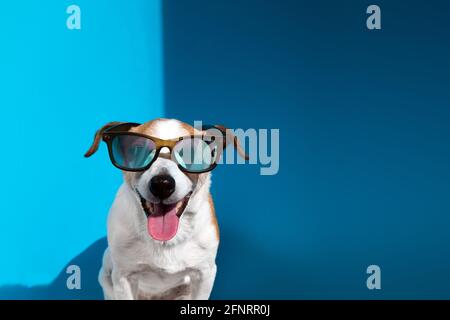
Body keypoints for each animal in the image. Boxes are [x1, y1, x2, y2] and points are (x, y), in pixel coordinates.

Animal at [84, 118, 246, 300]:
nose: (162, 184)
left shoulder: (205, 273)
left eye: (190, 152)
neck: (165, 240)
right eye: (137, 150)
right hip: (106, 268)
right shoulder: (123, 276)